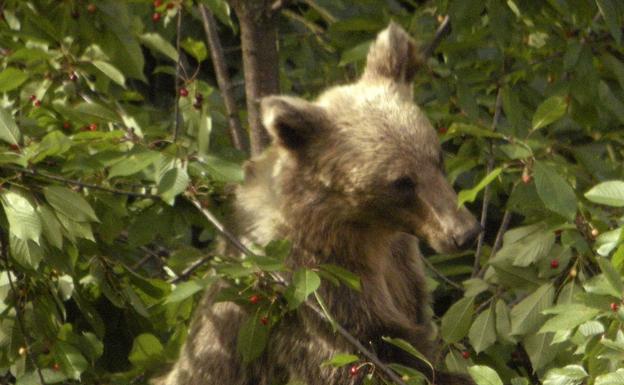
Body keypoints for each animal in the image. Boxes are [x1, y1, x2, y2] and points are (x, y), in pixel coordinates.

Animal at [154, 23, 480, 384]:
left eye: (437, 158)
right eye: (402, 182)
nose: (465, 232)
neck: (364, 229)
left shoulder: (401, 265)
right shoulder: (317, 283)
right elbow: (378, 350)